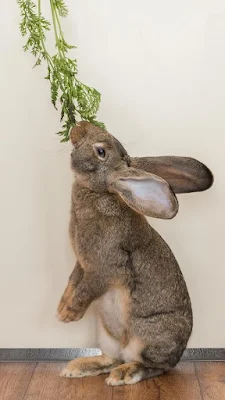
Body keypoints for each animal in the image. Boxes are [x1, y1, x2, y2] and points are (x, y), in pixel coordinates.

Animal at [57, 121, 214, 384]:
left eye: (100, 151)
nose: (81, 124)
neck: (101, 194)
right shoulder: (82, 263)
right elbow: (73, 281)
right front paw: (61, 309)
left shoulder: (103, 268)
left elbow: (86, 289)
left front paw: (69, 314)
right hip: (106, 335)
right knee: (112, 358)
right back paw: (78, 366)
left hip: (146, 337)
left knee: (154, 366)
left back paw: (124, 374)